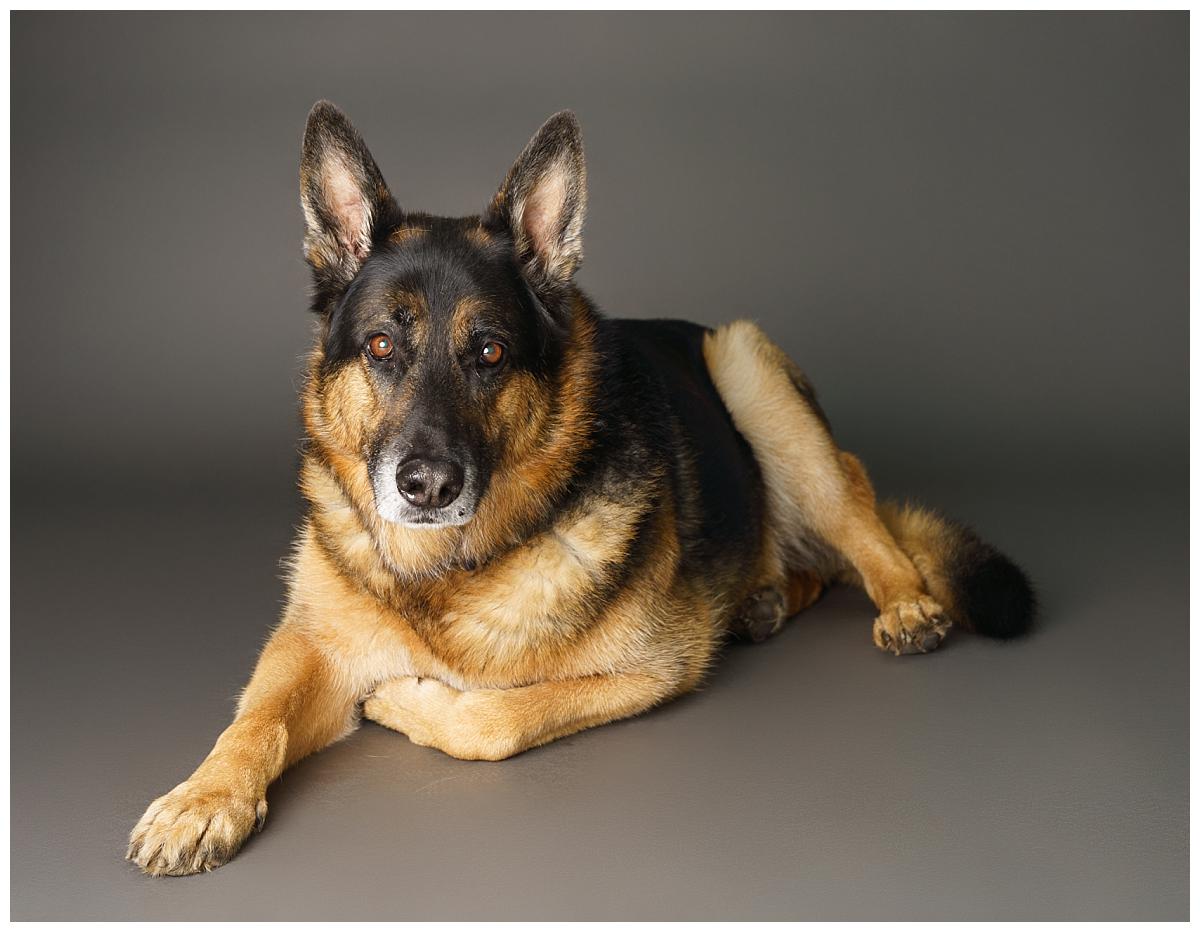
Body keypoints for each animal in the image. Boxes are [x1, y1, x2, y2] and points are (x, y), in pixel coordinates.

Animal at [129, 101, 1032, 873]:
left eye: (490, 353)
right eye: (382, 346)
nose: (427, 486)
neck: (444, 574)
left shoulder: (655, 668)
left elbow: (494, 717)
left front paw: (402, 701)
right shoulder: (306, 644)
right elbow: (254, 719)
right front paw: (201, 800)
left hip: (749, 368)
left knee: (862, 527)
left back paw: (905, 604)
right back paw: (765, 599)